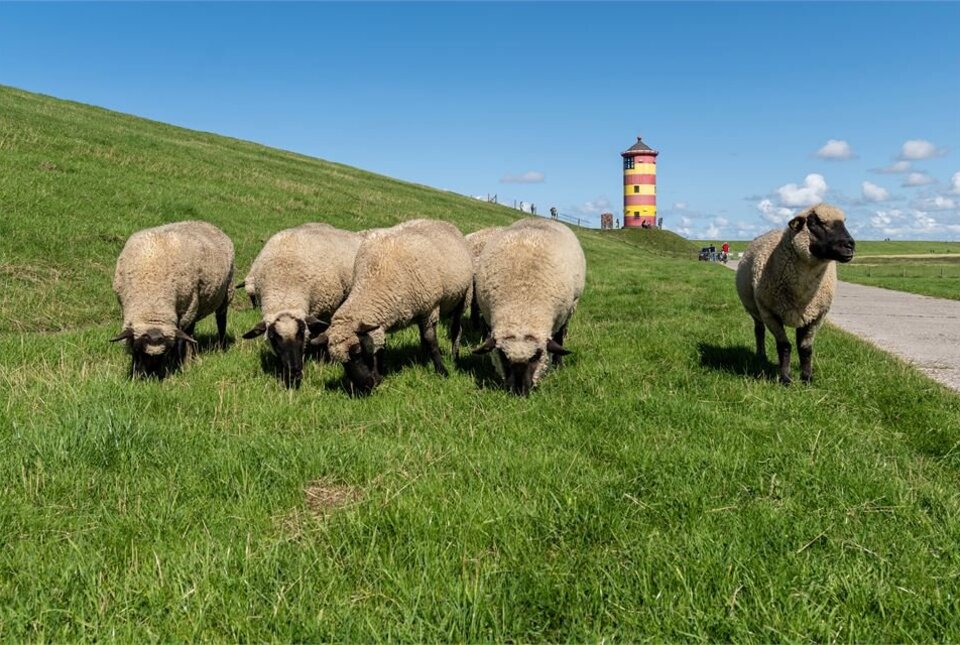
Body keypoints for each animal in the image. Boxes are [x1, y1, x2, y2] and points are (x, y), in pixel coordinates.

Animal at [109, 220, 234, 378]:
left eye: (166, 353)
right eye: (138, 351)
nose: (152, 375)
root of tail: (206, 223)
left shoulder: (188, 309)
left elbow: (183, 339)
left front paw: (180, 363)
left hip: (225, 293)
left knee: (220, 321)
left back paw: (219, 347)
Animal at [314, 219, 474, 394]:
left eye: (357, 351)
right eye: (342, 362)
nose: (365, 386)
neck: (375, 278)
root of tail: (444, 222)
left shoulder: (430, 308)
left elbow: (432, 341)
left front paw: (441, 371)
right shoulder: (384, 321)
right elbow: (381, 347)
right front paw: (380, 374)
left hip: (464, 296)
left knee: (455, 329)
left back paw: (454, 355)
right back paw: (423, 356)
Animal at [472, 219, 584, 394]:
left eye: (536, 356)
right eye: (503, 355)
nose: (519, 391)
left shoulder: (562, 314)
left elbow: (558, 340)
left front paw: (558, 365)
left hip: (572, 305)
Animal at [736, 203, 856, 382]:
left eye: (844, 222)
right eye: (814, 222)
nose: (849, 245)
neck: (802, 293)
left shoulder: (816, 317)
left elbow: (806, 348)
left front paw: (807, 378)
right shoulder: (770, 313)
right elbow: (784, 346)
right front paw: (785, 378)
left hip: (803, 316)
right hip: (755, 310)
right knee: (759, 330)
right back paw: (761, 355)